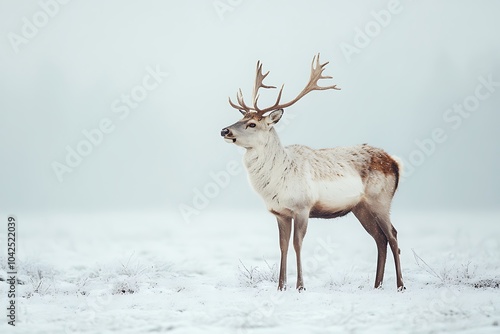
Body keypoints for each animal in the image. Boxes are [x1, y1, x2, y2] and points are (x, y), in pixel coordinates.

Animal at [221, 54, 404, 292]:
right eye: (241, 119)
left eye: (252, 124)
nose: (224, 130)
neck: (276, 181)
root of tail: (395, 162)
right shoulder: (280, 213)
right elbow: (282, 246)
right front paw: (281, 287)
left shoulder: (303, 207)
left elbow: (297, 244)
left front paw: (300, 286)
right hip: (361, 208)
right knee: (379, 239)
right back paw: (377, 285)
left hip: (380, 200)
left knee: (393, 235)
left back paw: (400, 285)